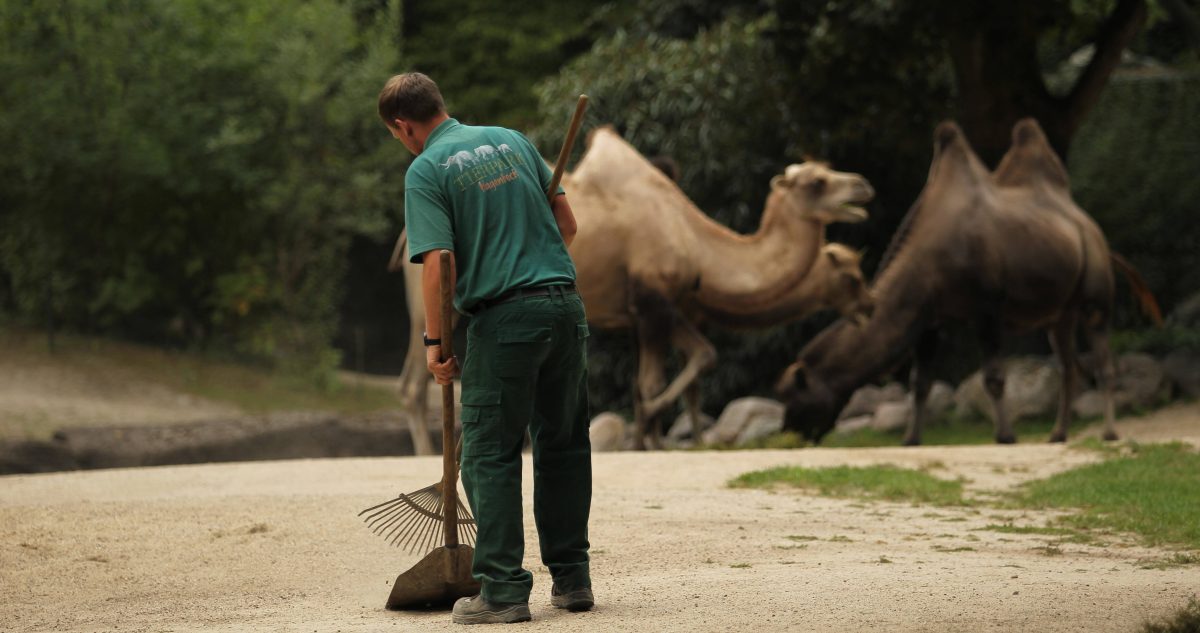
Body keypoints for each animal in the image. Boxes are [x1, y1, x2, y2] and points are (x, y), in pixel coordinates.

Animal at [393, 127, 873, 450]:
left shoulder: (653, 311)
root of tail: (406, 237)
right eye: (817, 182)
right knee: (416, 383)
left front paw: (660, 438)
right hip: (432, 301)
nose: (864, 185)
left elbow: (679, 368)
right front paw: (652, 438)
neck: (697, 242)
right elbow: (656, 379)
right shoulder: (654, 302)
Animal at [772, 117, 1156, 445]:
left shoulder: (987, 309)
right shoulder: (930, 317)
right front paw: (911, 438)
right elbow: (919, 383)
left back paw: (1108, 432)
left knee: (1103, 361)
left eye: (795, 396)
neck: (931, 257)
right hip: (1061, 310)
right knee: (1067, 366)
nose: (789, 433)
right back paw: (1058, 434)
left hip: (1095, 292)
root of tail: (1091, 230)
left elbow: (994, 377)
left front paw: (1005, 435)